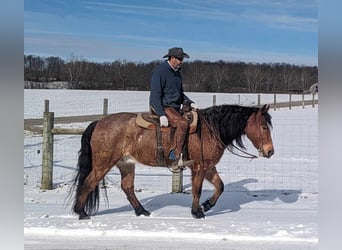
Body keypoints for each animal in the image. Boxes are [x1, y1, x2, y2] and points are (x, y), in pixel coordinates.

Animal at [71, 103, 276, 219]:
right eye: (264, 126)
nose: (270, 151)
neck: (210, 129)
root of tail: (98, 122)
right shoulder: (199, 167)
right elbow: (197, 189)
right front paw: (197, 211)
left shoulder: (209, 167)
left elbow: (220, 186)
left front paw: (207, 205)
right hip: (103, 163)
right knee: (88, 183)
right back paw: (81, 212)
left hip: (126, 163)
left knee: (127, 187)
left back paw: (141, 211)